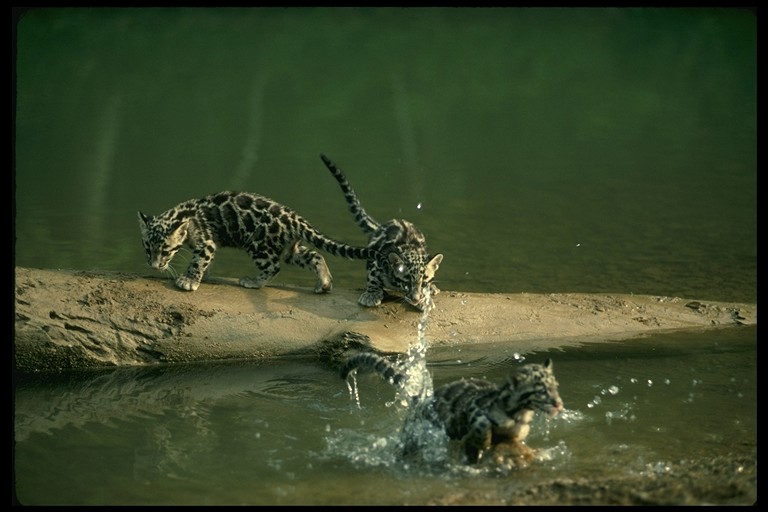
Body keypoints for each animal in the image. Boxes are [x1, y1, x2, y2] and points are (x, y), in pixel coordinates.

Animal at [140, 190, 376, 292]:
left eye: (165, 251)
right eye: (148, 249)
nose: (154, 265)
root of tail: (294, 217)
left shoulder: (206, 242)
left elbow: (198, 261)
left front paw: (190, 280)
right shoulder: (210, 244)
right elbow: (206, 262)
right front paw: (203, 276)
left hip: (258, 244)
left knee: (274, 266)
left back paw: (253, 282)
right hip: (291, 249)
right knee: (314, 255)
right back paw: (324, 283)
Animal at [320, 154, 444, 310]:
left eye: (424, 282)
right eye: (407, 281)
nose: (415, 299)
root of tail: (381, 226)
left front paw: (426, 298)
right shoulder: (377, 261)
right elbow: (373, 278)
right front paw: (372, 294)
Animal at [342, 354, 564, 466]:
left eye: (555, 386)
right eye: (542, 391)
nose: (559, 404)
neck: (520, 414)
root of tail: (420, 399)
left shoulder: (514, 435)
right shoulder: (475, 410)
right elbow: (483, 428)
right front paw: (481, 445)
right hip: (414, 433)